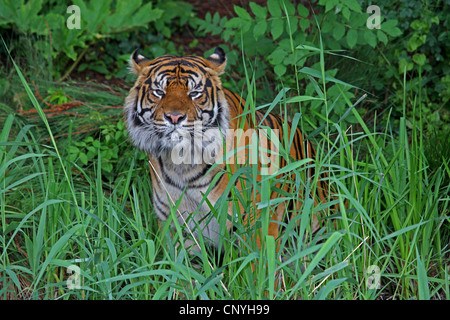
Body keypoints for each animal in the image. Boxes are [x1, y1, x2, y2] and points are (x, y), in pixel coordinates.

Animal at [125, 47, 332, 252]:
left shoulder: (254, 221)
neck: (182, 164)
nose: (174, 117)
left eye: (195, 93)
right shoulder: (173, 223)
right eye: (159, 92)